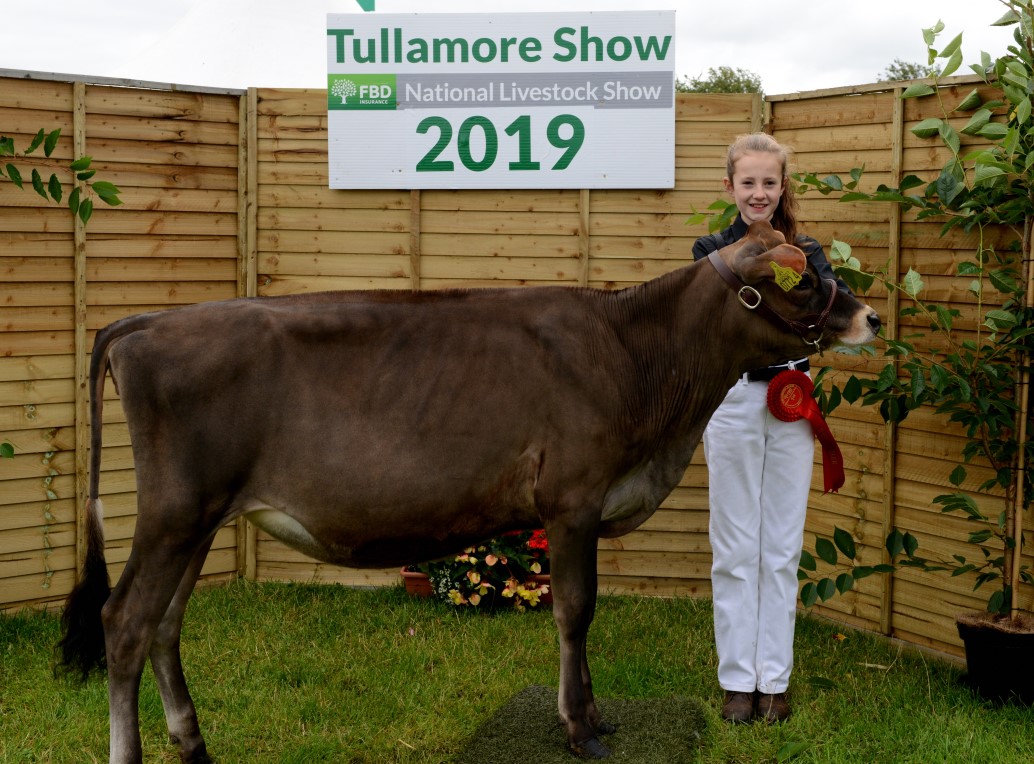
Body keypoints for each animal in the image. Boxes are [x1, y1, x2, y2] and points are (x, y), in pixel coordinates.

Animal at [57, 220, 879, 762]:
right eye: (806, 278)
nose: (869, 315)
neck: (636, 357)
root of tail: (146, 322)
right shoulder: (571, 499)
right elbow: (576, 611)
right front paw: (579, 728)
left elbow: (580, 614)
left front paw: (594, 718)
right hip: (174, 512)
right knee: (124, 621)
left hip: (199, 517)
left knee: (164, 623)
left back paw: (195, 745)